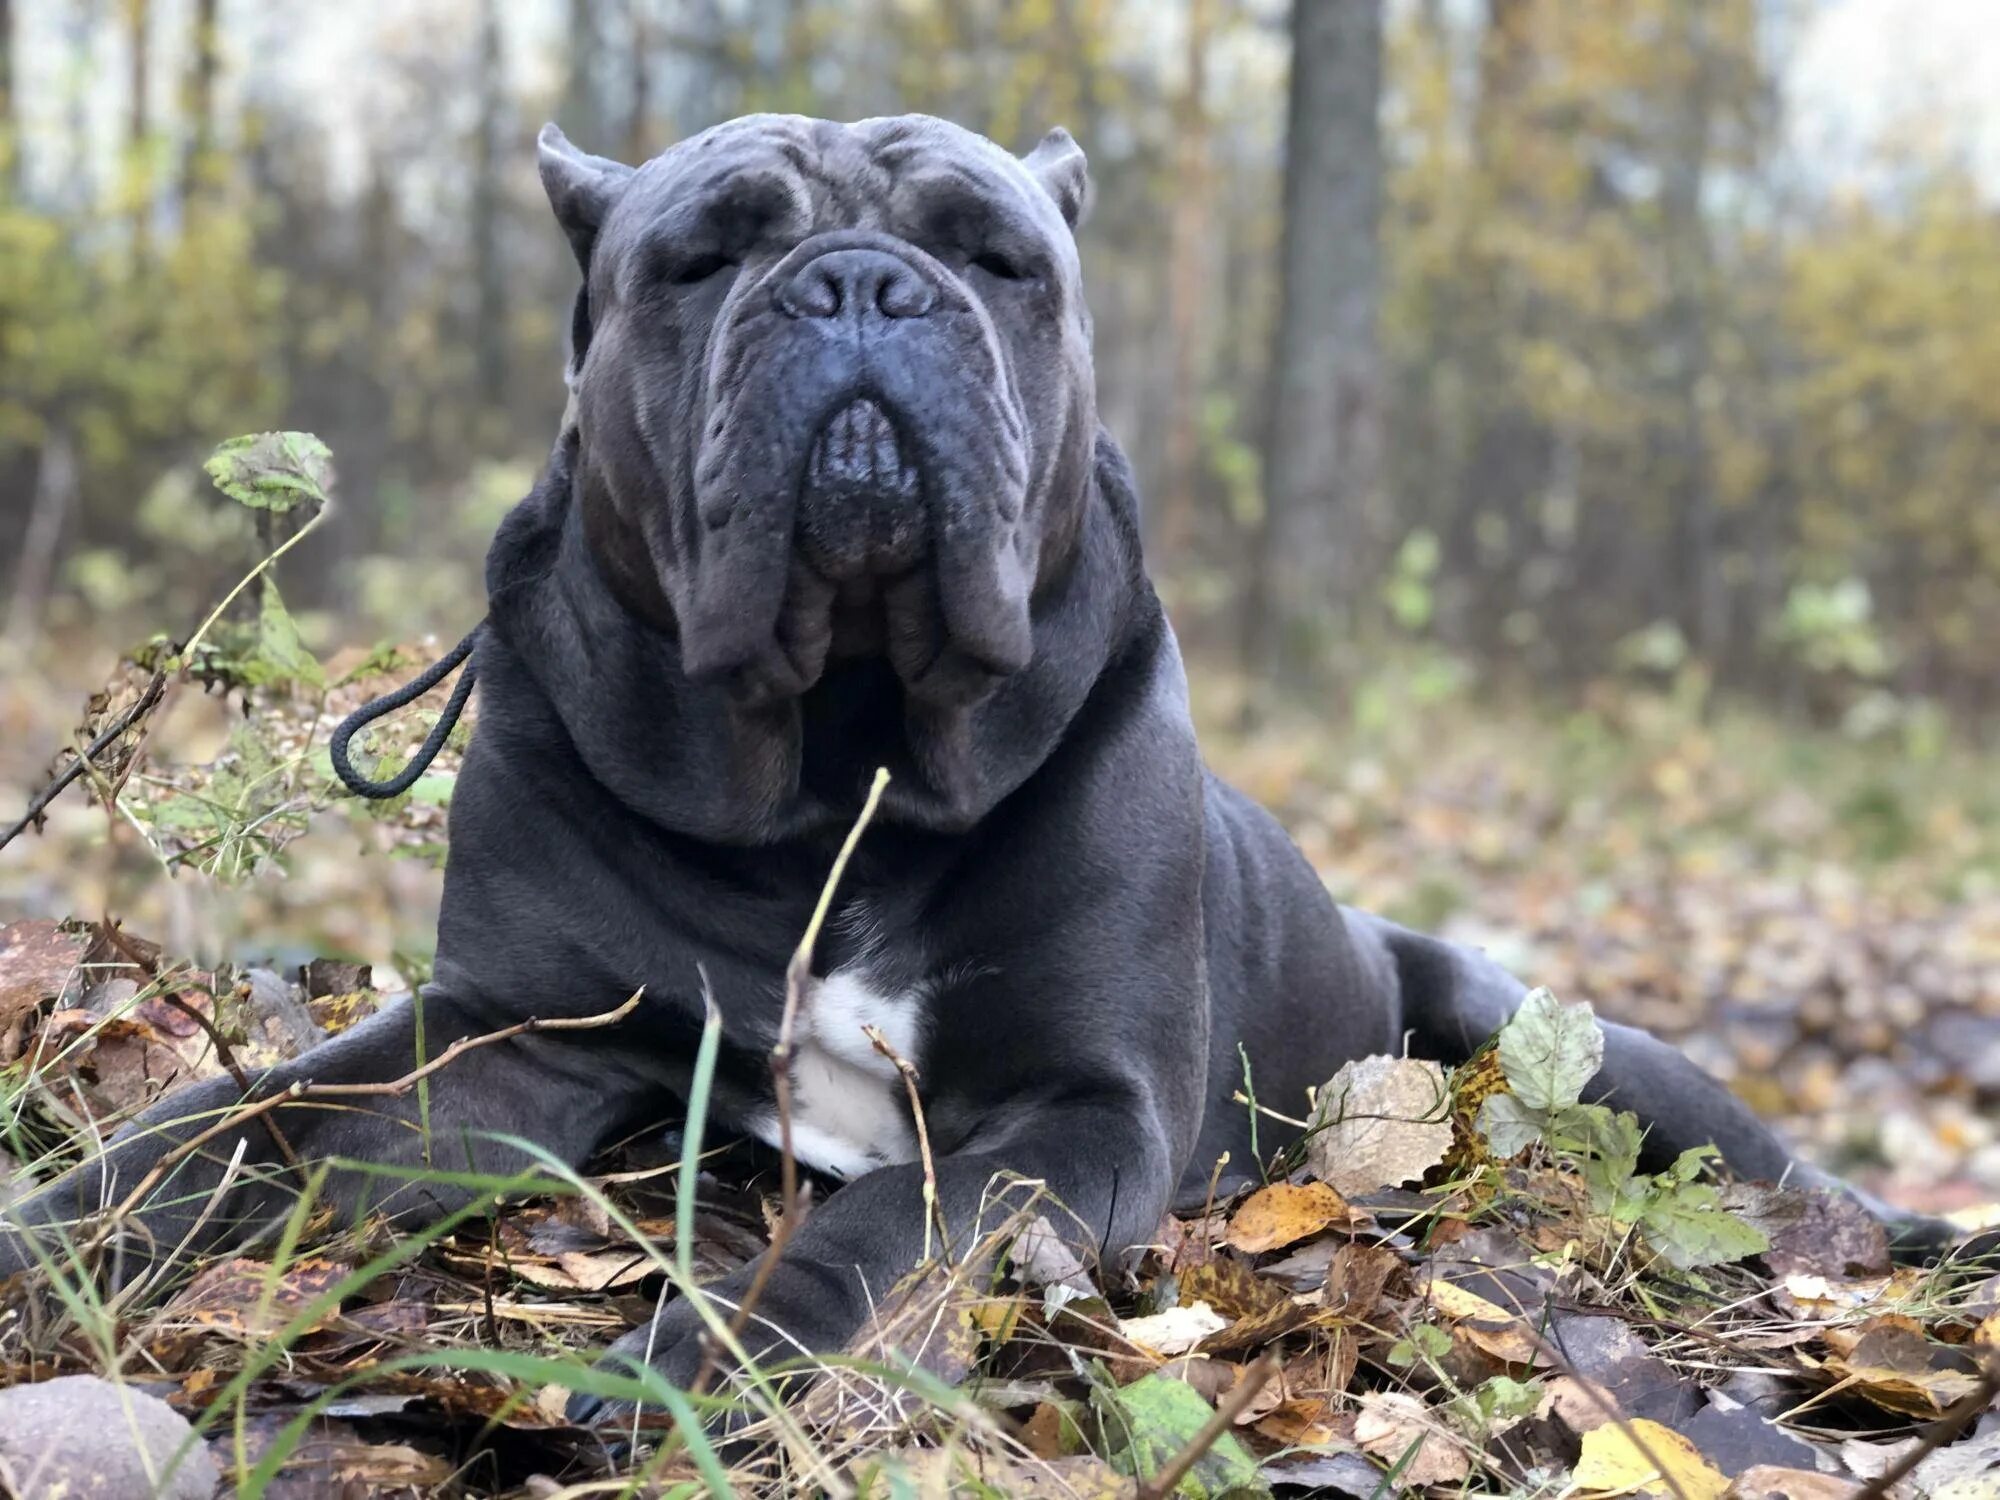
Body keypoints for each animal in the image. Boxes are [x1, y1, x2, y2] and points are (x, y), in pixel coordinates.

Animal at [0, 117, 1944, 1424]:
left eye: (1001, 259)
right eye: (698, 260)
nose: (862, 286)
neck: (831, 760)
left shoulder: (1077, 1105)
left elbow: (877, 1233)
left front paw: (703, 1362)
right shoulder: (505, 1032)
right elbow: (226, 1134)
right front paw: (48, 1241)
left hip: (1575, 1047)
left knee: (1772, 1173)